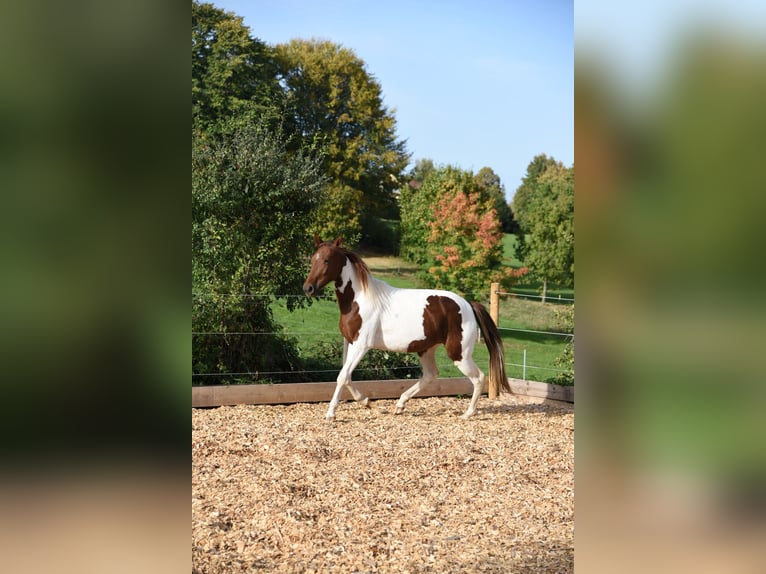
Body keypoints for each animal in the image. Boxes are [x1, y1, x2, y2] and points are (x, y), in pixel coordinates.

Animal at [303, 235, 511, 422]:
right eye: (312, 259)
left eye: (327, 260)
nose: (308, 288)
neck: (359, 300)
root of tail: (468, 304)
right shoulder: (350, 342)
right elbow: (346, 376)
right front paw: (367, 402)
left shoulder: (362, 345)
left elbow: (342, 376)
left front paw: (331, 414)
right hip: (426, 349)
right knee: (431, 375)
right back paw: (400, 405)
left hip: (459, 354)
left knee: (479, 377)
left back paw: (467, 414)